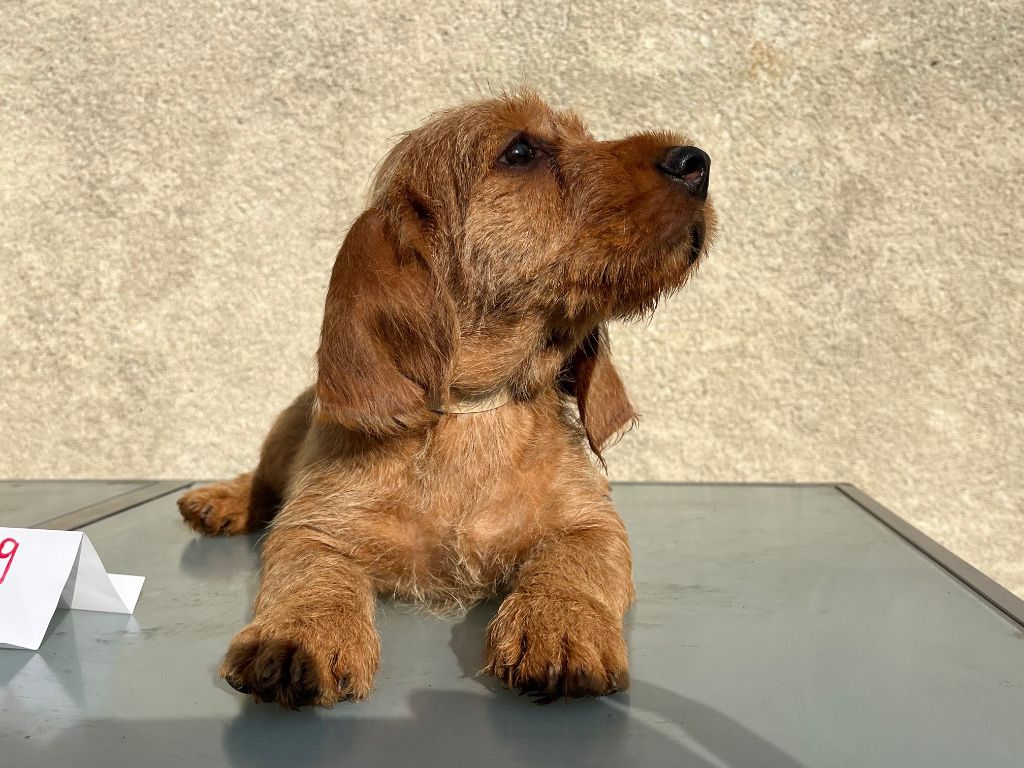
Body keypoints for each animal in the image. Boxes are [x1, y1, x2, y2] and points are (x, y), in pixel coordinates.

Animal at [176, 91, 716, 708]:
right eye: (520, 151)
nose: (696, 162)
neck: (472, 415)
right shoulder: (314, 525)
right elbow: (310, 573)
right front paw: (297, 636)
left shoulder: (593, 522)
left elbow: (572, 563)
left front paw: (559, 623)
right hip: (281, 435)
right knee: (263, 481)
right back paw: (221, 498)